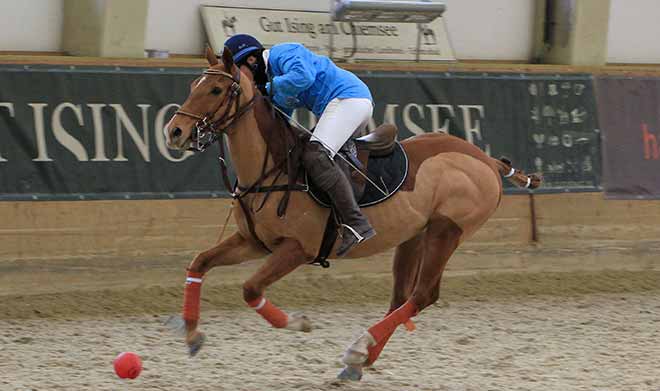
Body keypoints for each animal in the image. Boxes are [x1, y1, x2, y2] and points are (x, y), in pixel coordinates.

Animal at [165, 47, 540, 382]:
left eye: (215, 89)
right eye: (193, 85)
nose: (174, 131)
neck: (272, 167)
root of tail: (486, 159)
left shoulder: (298, 249)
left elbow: (250, 288)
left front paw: (300, 323)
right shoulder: (253, 242)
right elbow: (200, 262)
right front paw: (192, 335)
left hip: (447, 231)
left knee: (423, 295)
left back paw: (358, 349)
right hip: (415, 234)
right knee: (402, 297)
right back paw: (360, 361)